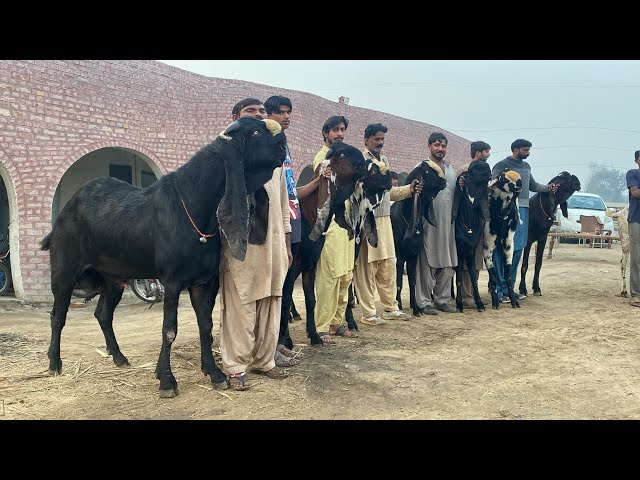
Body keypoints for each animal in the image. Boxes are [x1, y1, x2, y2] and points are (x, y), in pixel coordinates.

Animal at [41, 117, 286, 398]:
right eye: (255, 131)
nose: (283, 145)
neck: (194, 206)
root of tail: (65, 212)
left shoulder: (203, 282)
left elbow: (206, 326)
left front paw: (214, 373)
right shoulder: (172, 281)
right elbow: (169, 330)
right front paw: (167, 381)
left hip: (113, 278)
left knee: (103, 314)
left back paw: (119, 357)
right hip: (63, 271)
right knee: (57, 315)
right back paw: (54, 363)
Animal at [390, 160, 444, 316]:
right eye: (426, 171)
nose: (443, 181)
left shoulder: (413, 255)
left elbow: (413, 281)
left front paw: (416, 308)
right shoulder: (400, 256)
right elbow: (399, 282)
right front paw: (399, 306)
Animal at [450, 159, 490, 314]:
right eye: (474, 169)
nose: (488, 170)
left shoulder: (471, 252)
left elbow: (474, 279)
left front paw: (479, 304)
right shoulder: (459, 253)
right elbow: (460, 278)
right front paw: (459, 305)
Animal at [482, 169, 524, 310]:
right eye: (502, 177)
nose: (519, 183)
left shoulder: (508, 244)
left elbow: (509, 276)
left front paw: (514, 301)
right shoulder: (487, 246)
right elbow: (494, 276)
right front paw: (495, 301)